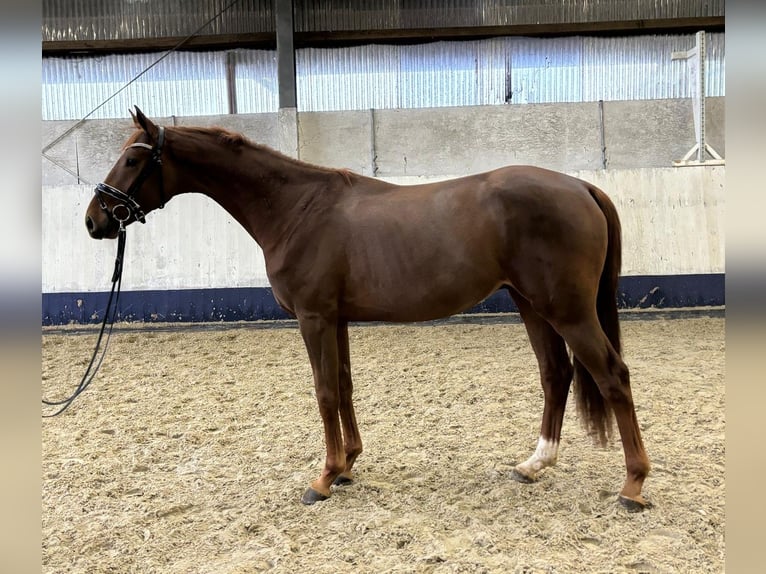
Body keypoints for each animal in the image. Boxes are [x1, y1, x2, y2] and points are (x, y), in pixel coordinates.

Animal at [87, 108, 652, 512]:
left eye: (133, 160)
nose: (96, 220)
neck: (297, 209)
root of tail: (582, 185)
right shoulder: (335, 320)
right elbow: (344, 385)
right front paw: (348, 466)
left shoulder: (314, 318)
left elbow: (324, 391)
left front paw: (323, 477)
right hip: (532, 305)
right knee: (556, 374)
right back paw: (534, 464)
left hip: (569, 311)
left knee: (613, 376)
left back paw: (632, 487)